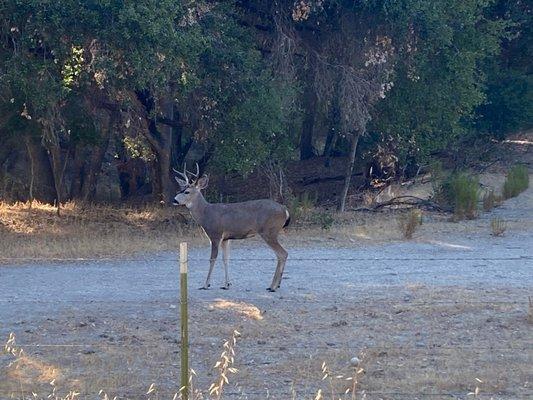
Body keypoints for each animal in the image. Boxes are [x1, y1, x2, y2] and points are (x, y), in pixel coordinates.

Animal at [172, 164, 288, 292]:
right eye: (179, 190)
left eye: (187, 192)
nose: (174, 200)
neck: (205, 214)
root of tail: (284, 210)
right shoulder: (226, 239)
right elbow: (225, 259)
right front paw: (226, 284)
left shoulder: (215, 235)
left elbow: (212, 259)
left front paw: (206, 284)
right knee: (281, 255)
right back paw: (276, 284)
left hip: (269, 231)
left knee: (282, 254)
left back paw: (273, 286)